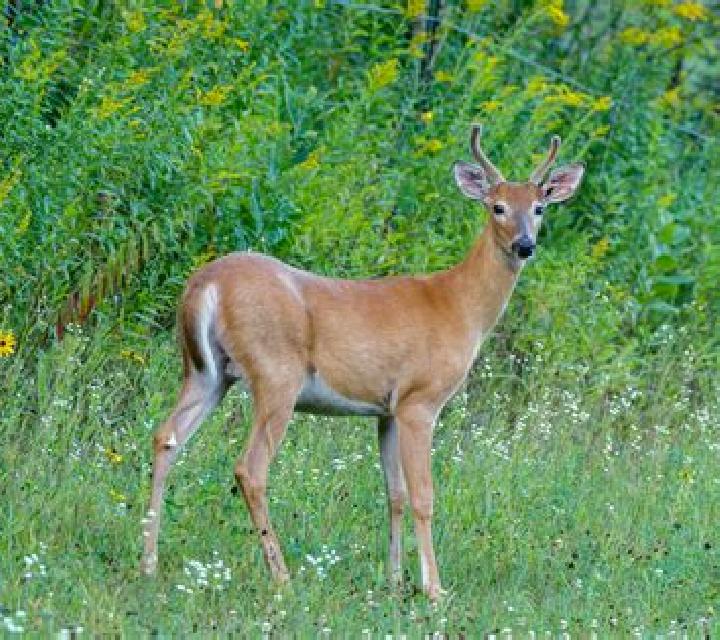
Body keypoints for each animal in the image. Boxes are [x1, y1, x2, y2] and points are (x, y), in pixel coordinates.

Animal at [140, 124, 584, 600]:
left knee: (166, 438)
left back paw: (148, 563)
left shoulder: (386, 410)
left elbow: (395, 494)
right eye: (497, 207)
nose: (525, 245)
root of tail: (205, 285)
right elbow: (423, 496)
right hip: (276, 373)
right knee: (250, 467)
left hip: (206, 373)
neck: (459, 305)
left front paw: (394, 580)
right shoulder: (419, 401)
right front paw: (434, 589)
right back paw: (282, 577)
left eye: (539, 208)